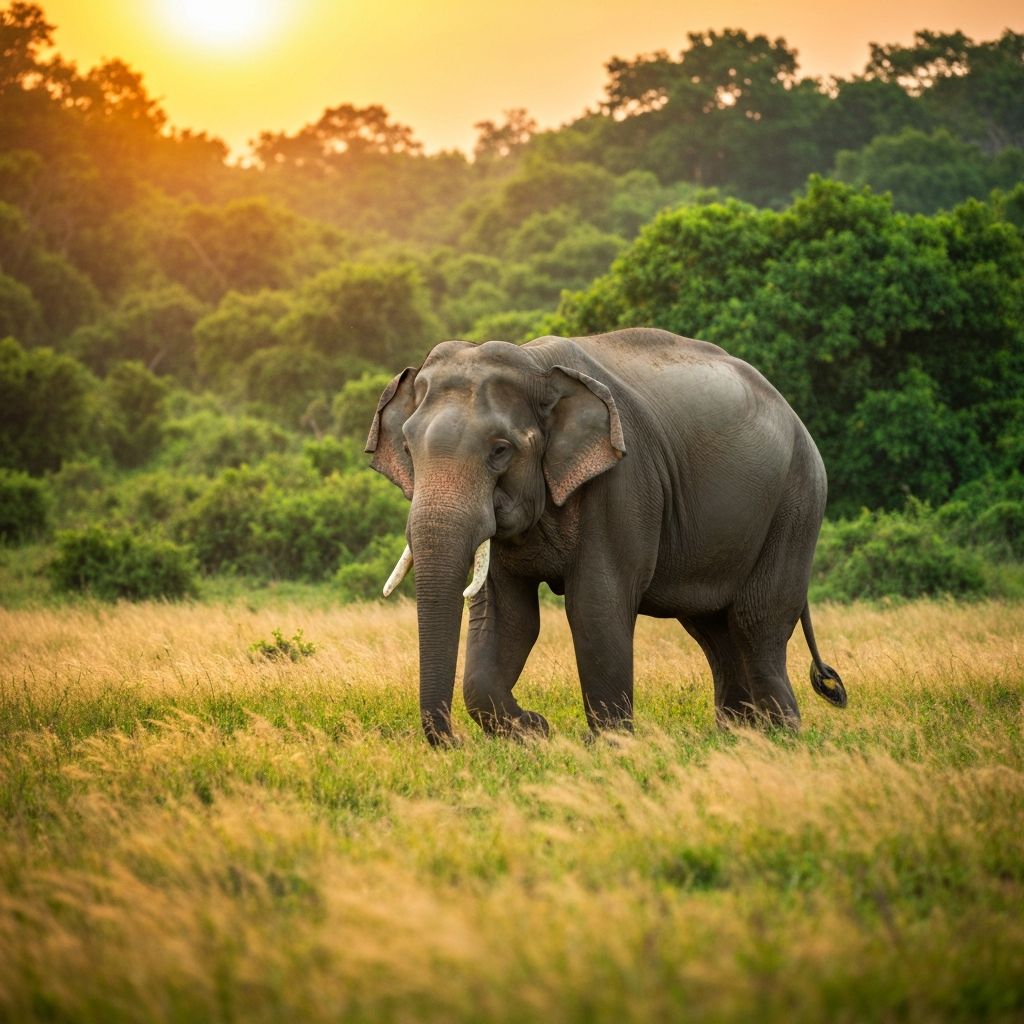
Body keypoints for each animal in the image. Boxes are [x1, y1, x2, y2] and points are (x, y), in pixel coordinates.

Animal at [366, 328, 847, 745]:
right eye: (407, 448)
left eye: (500, 451)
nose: (453, 743)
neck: (538, 366)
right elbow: (509, 615)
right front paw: (534, 733)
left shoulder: (623, 482)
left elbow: (595, 604)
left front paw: (608, 745)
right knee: (713, 628)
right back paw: (737, 735)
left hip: (797, 501)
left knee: (755, 619)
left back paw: (779, 736)